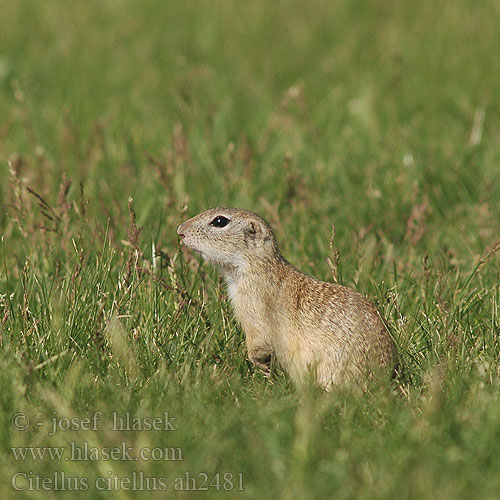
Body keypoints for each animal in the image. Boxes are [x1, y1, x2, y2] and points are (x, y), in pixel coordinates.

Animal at [178, 207, 396, 390]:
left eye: (219, 221)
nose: (180, 230)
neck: (258, 266)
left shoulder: (253, 305)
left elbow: (260, 339)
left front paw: (260, 365)